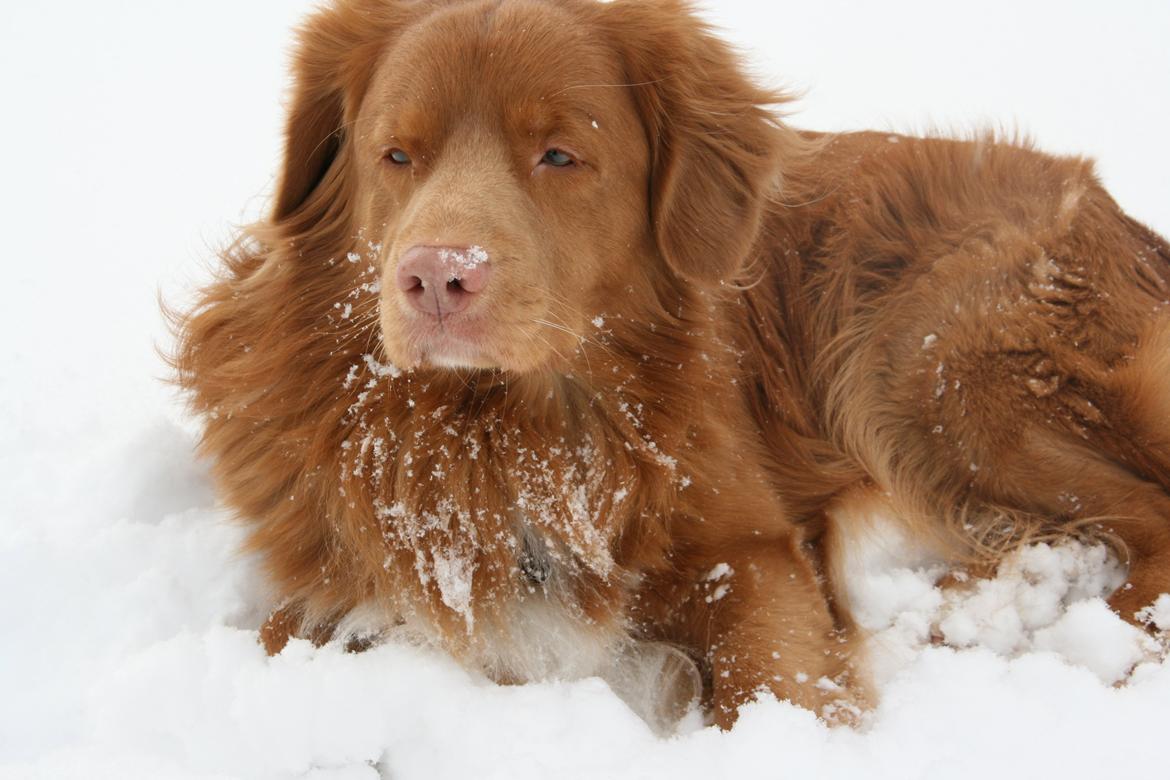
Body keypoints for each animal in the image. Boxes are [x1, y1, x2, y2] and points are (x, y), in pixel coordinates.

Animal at [175, 1, 1170, 734]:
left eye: (560, 154)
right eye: (396, 154)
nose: (435, 277)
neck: (500, 435)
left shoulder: (752, 548)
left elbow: (779, 678)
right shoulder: (334, 569)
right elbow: (293, 632)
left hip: (922, 368)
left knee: (1147, 515)